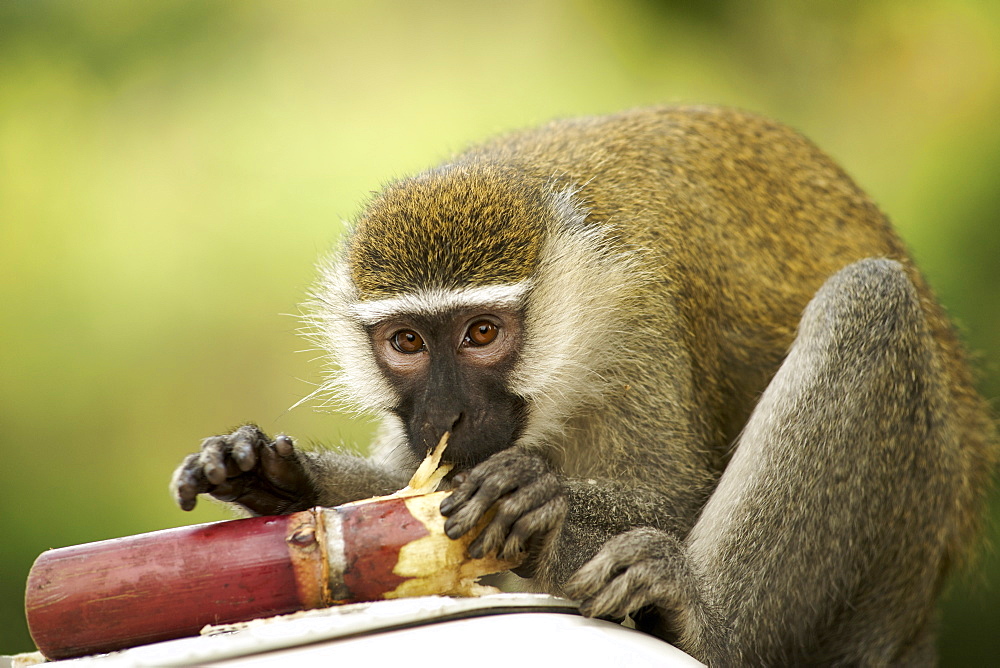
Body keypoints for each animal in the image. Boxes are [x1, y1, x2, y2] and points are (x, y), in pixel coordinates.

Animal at [170, 107, 992, 664]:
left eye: (482, 334)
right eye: (406, 343)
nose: (448, 411)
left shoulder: (642, 315)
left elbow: (677, 495)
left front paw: (539, 503)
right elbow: (406, 498)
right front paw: (275, 476)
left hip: (900, 554)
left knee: (871, 300)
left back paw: (702, 618)